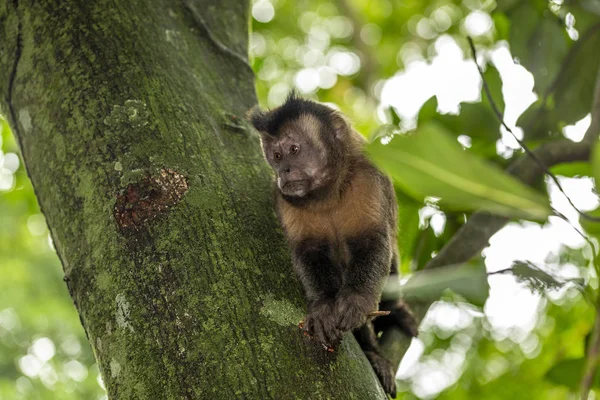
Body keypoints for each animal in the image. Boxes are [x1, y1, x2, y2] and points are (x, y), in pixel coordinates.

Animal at [246, 94, 414, 396]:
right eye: (276, 156)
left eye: (294, 149)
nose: (285, 170)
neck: (327, 194)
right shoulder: (284, 199)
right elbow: (309, 251)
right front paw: (323, 308)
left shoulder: (369, 176)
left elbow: (372, 240)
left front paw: (356, 300)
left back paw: (391, 322)